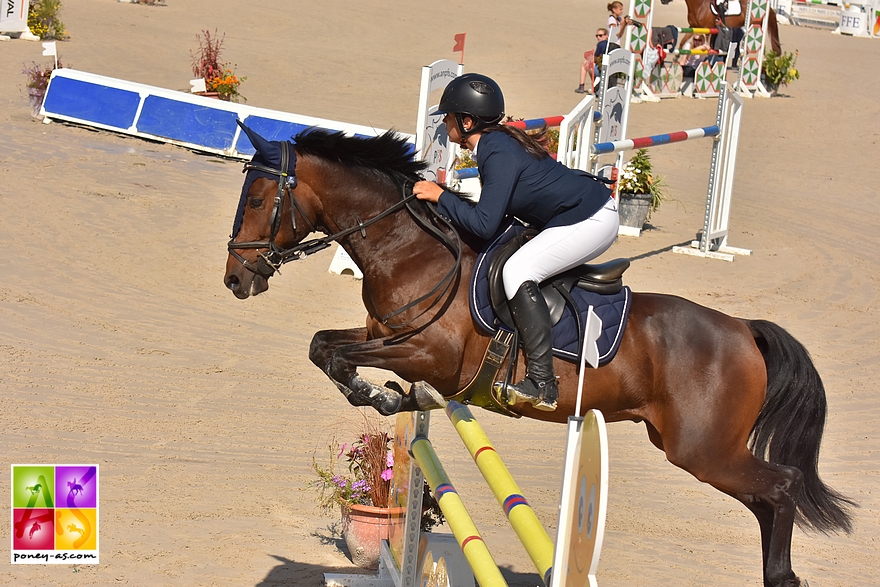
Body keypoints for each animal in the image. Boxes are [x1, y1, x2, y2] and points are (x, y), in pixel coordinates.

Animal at [225, 121, 852, 584]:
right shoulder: (382, 332)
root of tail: (744, 330)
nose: (235, 279)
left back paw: (782, 575)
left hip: (702, 450)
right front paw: (386, 397)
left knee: (782, 486)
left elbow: (341, 358)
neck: (410, 250)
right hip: (698, 449)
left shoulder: (430, 354)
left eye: (256, 198)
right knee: (766, 499)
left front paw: (380, 395)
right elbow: (324, 346)